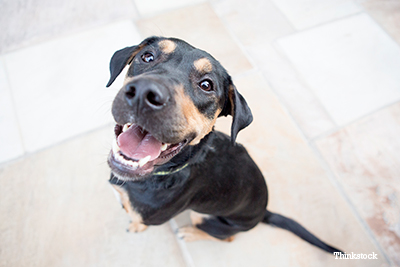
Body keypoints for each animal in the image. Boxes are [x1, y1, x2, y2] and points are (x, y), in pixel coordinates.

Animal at [105, 36, 340, 254]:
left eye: (206, 85)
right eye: (147, 57)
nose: (143, 93)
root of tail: (264, 213)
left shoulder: (151, 215)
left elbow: (138, 218)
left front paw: (136, 225)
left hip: (204, 216)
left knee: (227, 238)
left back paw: (190, 233)